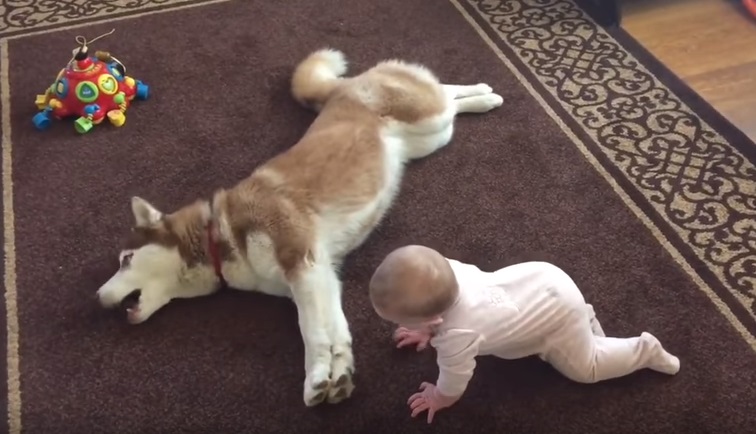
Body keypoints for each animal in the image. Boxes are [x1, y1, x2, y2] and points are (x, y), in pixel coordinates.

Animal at [96, 48, 503, 406]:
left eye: (126, 259)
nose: (97, 298)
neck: (218, 236)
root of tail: (343, 87)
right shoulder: (317, 276)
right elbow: (331, 331)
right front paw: (337, 374)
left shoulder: (302, 262)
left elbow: (312, 334)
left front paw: (317, 377)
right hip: (431, 138)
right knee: (451, 104)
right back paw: (482, 97)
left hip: (427, 118)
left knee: (444, 92)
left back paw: (487, 91)